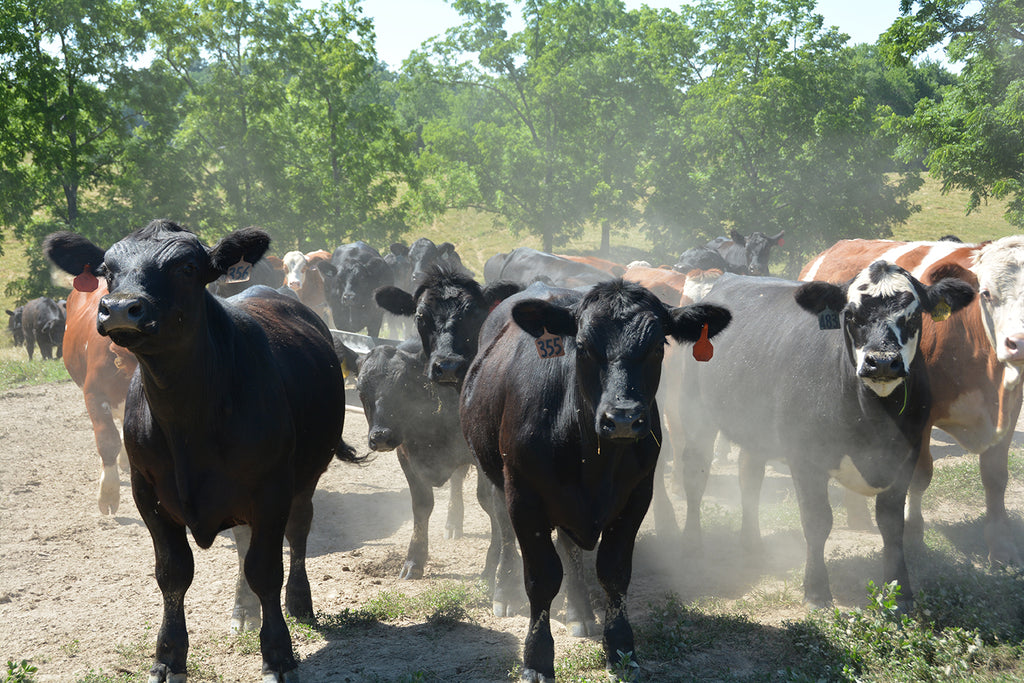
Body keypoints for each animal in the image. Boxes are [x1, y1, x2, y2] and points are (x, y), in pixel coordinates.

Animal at [356, 339, 491, 581]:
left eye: (403, 388)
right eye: (361, 392)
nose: (380, 437)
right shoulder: (407, 460)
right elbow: (421, 507)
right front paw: (414, 561)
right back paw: (452, 522)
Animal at [460, 278, 733, 683]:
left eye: (657, 346)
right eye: (584, 346)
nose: (623, 418)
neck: (592, 459)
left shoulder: (637, 495)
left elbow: (613, 572)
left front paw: (620, 647)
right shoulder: (524, 495)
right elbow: (541, 577)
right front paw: (537, 658)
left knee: (570, 550)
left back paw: (580, 612)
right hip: (494, 475)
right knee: (505, 532)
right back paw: (504, 593)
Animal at [675, 262, 970, 610]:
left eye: (913, 316)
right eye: (850, 315)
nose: (882, 362)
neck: (873, 418)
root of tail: (729, 278)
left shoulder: (906, 456)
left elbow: (891, 525)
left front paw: (899, 591)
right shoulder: (805, 458)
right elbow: (817, 522)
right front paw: (816, 590)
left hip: (755, 427)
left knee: (749, 478)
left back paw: (752, 544)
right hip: (695, 410)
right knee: (695, 475)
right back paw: (691, 544)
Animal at [798, 236, 1024, 565]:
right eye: (986, 293)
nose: (1018, 343)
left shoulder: (1010, 407)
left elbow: (995, 476)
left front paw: (1002, 545)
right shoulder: (921, 417)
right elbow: (920, 475)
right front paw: (914, 535)